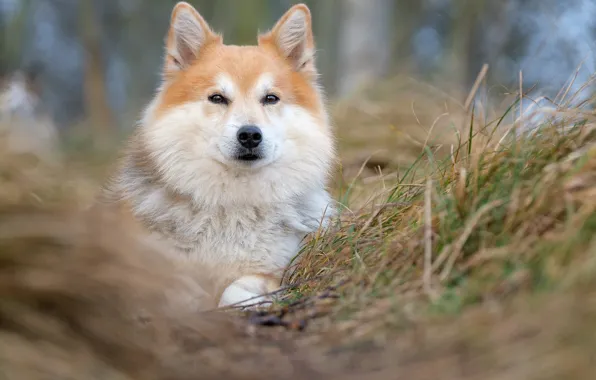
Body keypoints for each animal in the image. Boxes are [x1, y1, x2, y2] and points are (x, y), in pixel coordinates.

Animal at [100, 2, 338, 308]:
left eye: (270, 98)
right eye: (217, 98)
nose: (250, 135)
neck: (232, 209)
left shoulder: (272, 269)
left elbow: (237, 289)